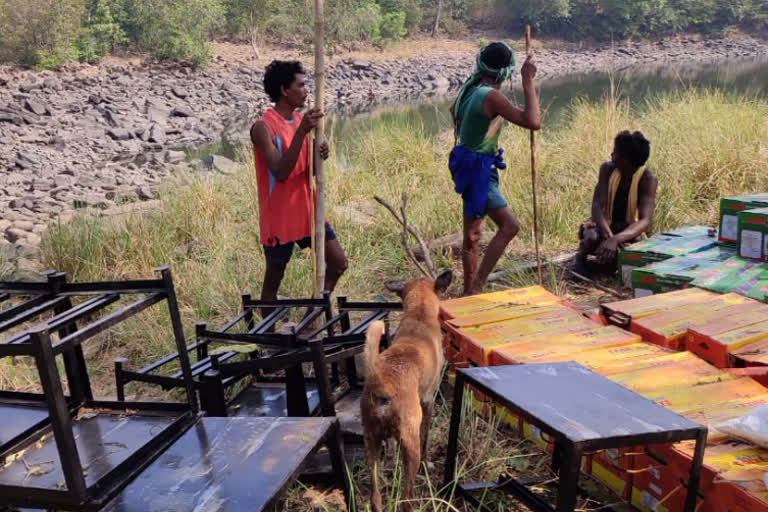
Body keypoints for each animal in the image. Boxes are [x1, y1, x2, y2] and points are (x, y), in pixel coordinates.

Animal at [364, 270, 452, 512]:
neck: (419, 315)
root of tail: (383, 384)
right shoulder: (428, 401)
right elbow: (426, 436)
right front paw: (428, 463)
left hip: (370, 443)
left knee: (376, 497)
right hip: (410, 446)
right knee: (405, 498)